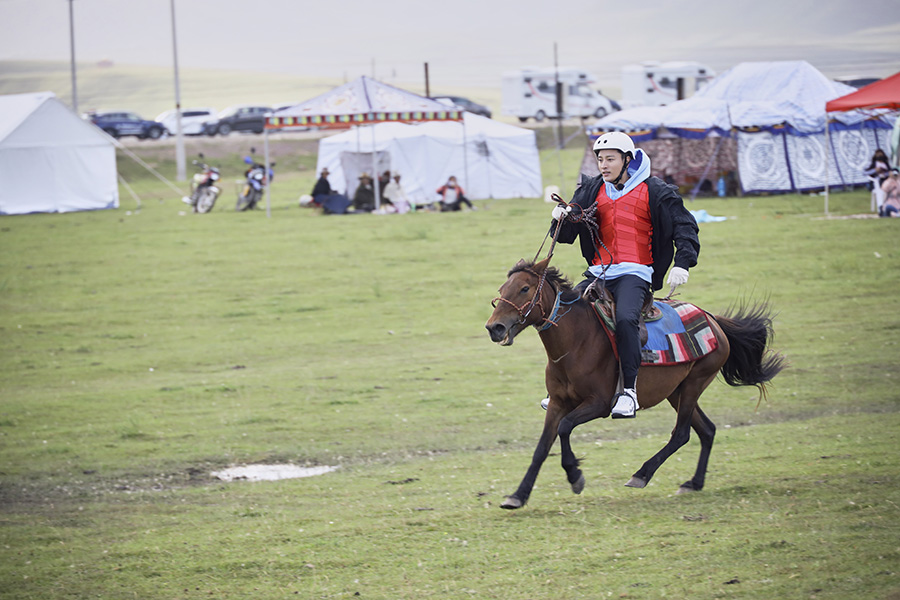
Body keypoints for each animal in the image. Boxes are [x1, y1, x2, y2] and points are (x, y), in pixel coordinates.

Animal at [482, 255, 784, 508]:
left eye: (524, 289)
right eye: (502, 288)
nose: (494, 327)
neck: (576, 342)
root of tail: (713, 320)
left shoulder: (599, 404)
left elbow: (565, 428)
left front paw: (575, 475)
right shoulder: (557, 403)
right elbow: (542, 448)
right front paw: (518, 495)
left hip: (694, 384)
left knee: (682, 434)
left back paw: (642, 474)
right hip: (676, 391)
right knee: (707, 430)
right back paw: (694, 482)